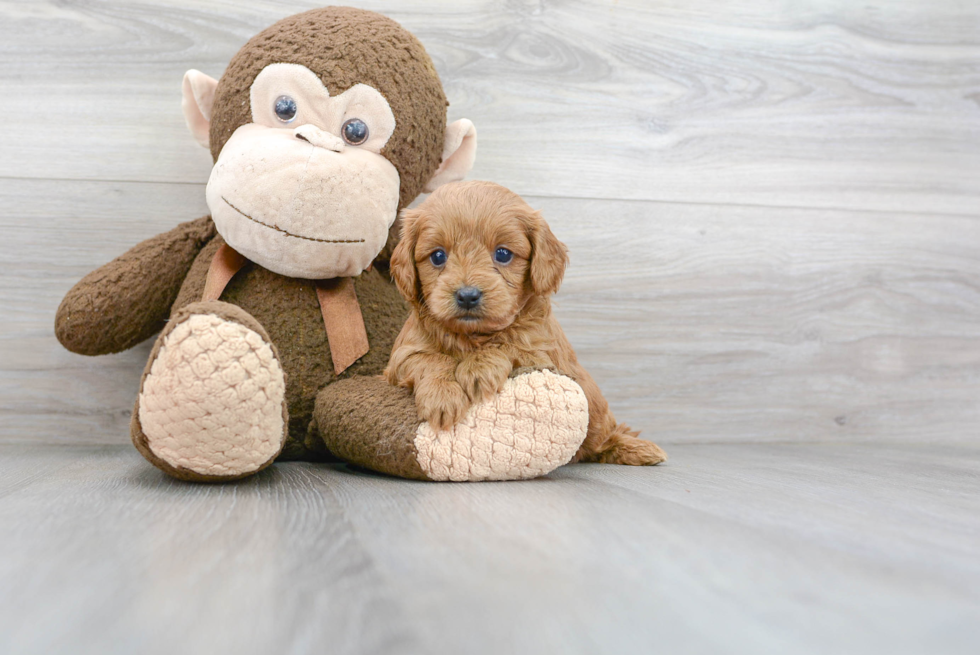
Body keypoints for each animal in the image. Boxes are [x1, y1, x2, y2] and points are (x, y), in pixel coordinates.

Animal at [382, 179, 668, 466]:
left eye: (503, 254)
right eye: (438, 256)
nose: (467, 295)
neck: (474, 336)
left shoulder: (544, 354)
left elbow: (509, 343)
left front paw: (478, 368)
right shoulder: (399, 360)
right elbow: (429, 359)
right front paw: (443, 397)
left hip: (596, 411)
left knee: (606, 438)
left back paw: (637, 449)